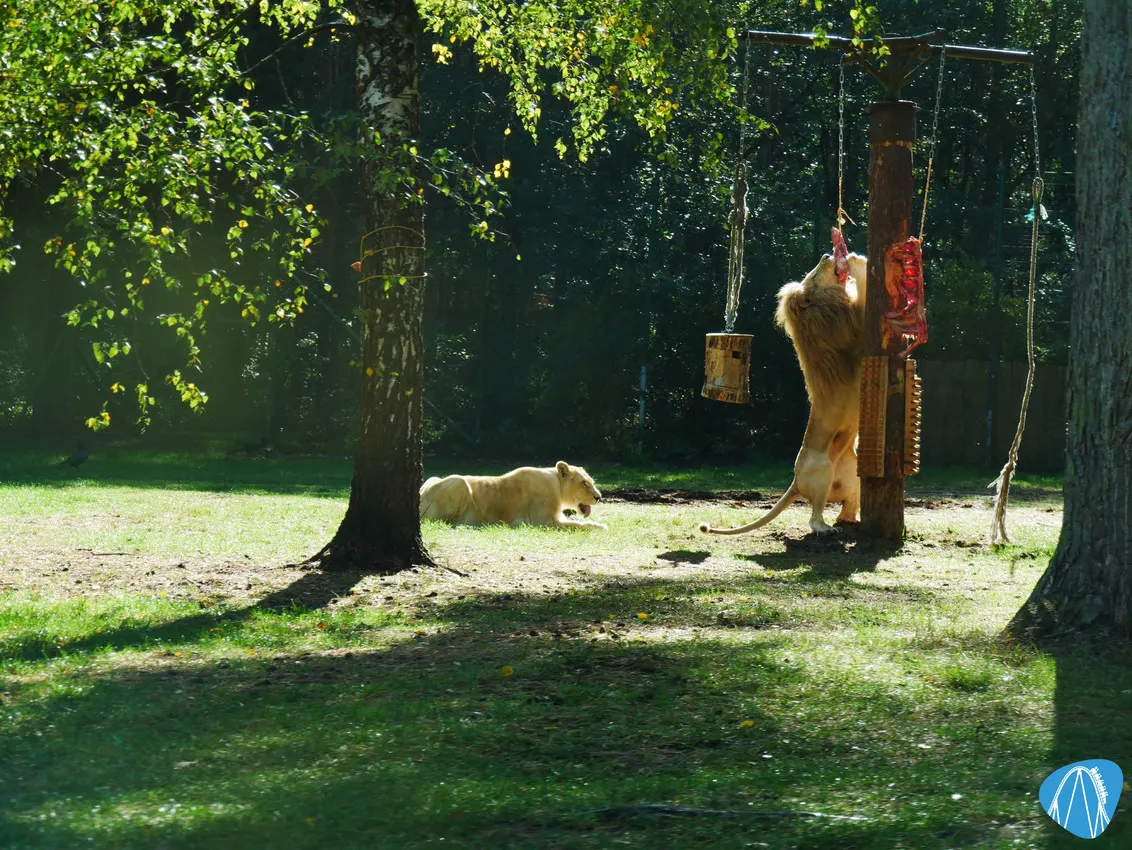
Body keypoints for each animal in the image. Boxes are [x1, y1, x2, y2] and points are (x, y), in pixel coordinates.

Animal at [420, 461, 607, 529]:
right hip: (459, 482)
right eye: (584, 484)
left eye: (591, 482)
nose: (599, 497)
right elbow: (578, 524)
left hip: (433, 478)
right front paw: (600, 527)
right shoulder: (544, 522)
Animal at [700, 252, 868, 536]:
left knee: (845, 504)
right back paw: (825, 529)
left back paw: (850, 521)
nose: (826, 254)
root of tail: (795, 482)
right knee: (815, 514)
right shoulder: (853, 328)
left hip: (852, 473)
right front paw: (858, 262)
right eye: (815, 274)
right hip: (822, 470)